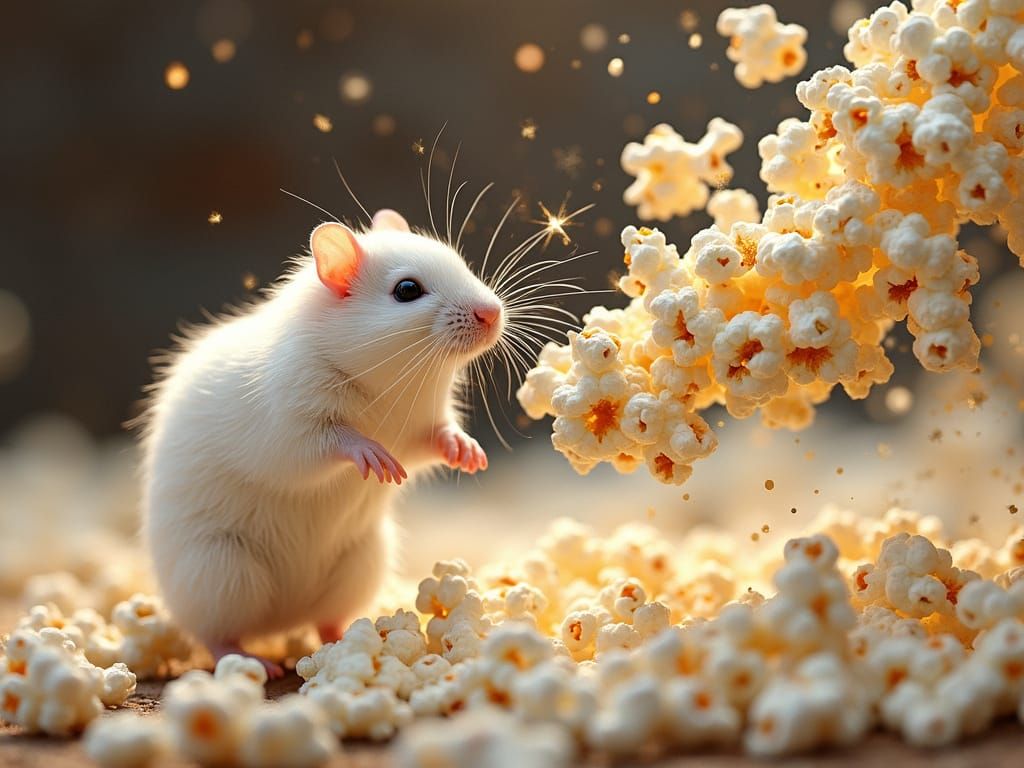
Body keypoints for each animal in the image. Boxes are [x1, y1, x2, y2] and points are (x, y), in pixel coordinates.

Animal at [139, 209, 503, 677]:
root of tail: (283, 622)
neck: (391, 382)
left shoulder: (421, 428)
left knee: (324, 619)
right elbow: (326, 442)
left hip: (358, 566)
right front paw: (371, 454)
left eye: (461, 263)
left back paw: (345, 639)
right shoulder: (291, 422)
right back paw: (253, 660)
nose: (492, 314)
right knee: (214, 634)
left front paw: (467, 451)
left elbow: (435, 441)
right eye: (407, 290)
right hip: (220, 573)